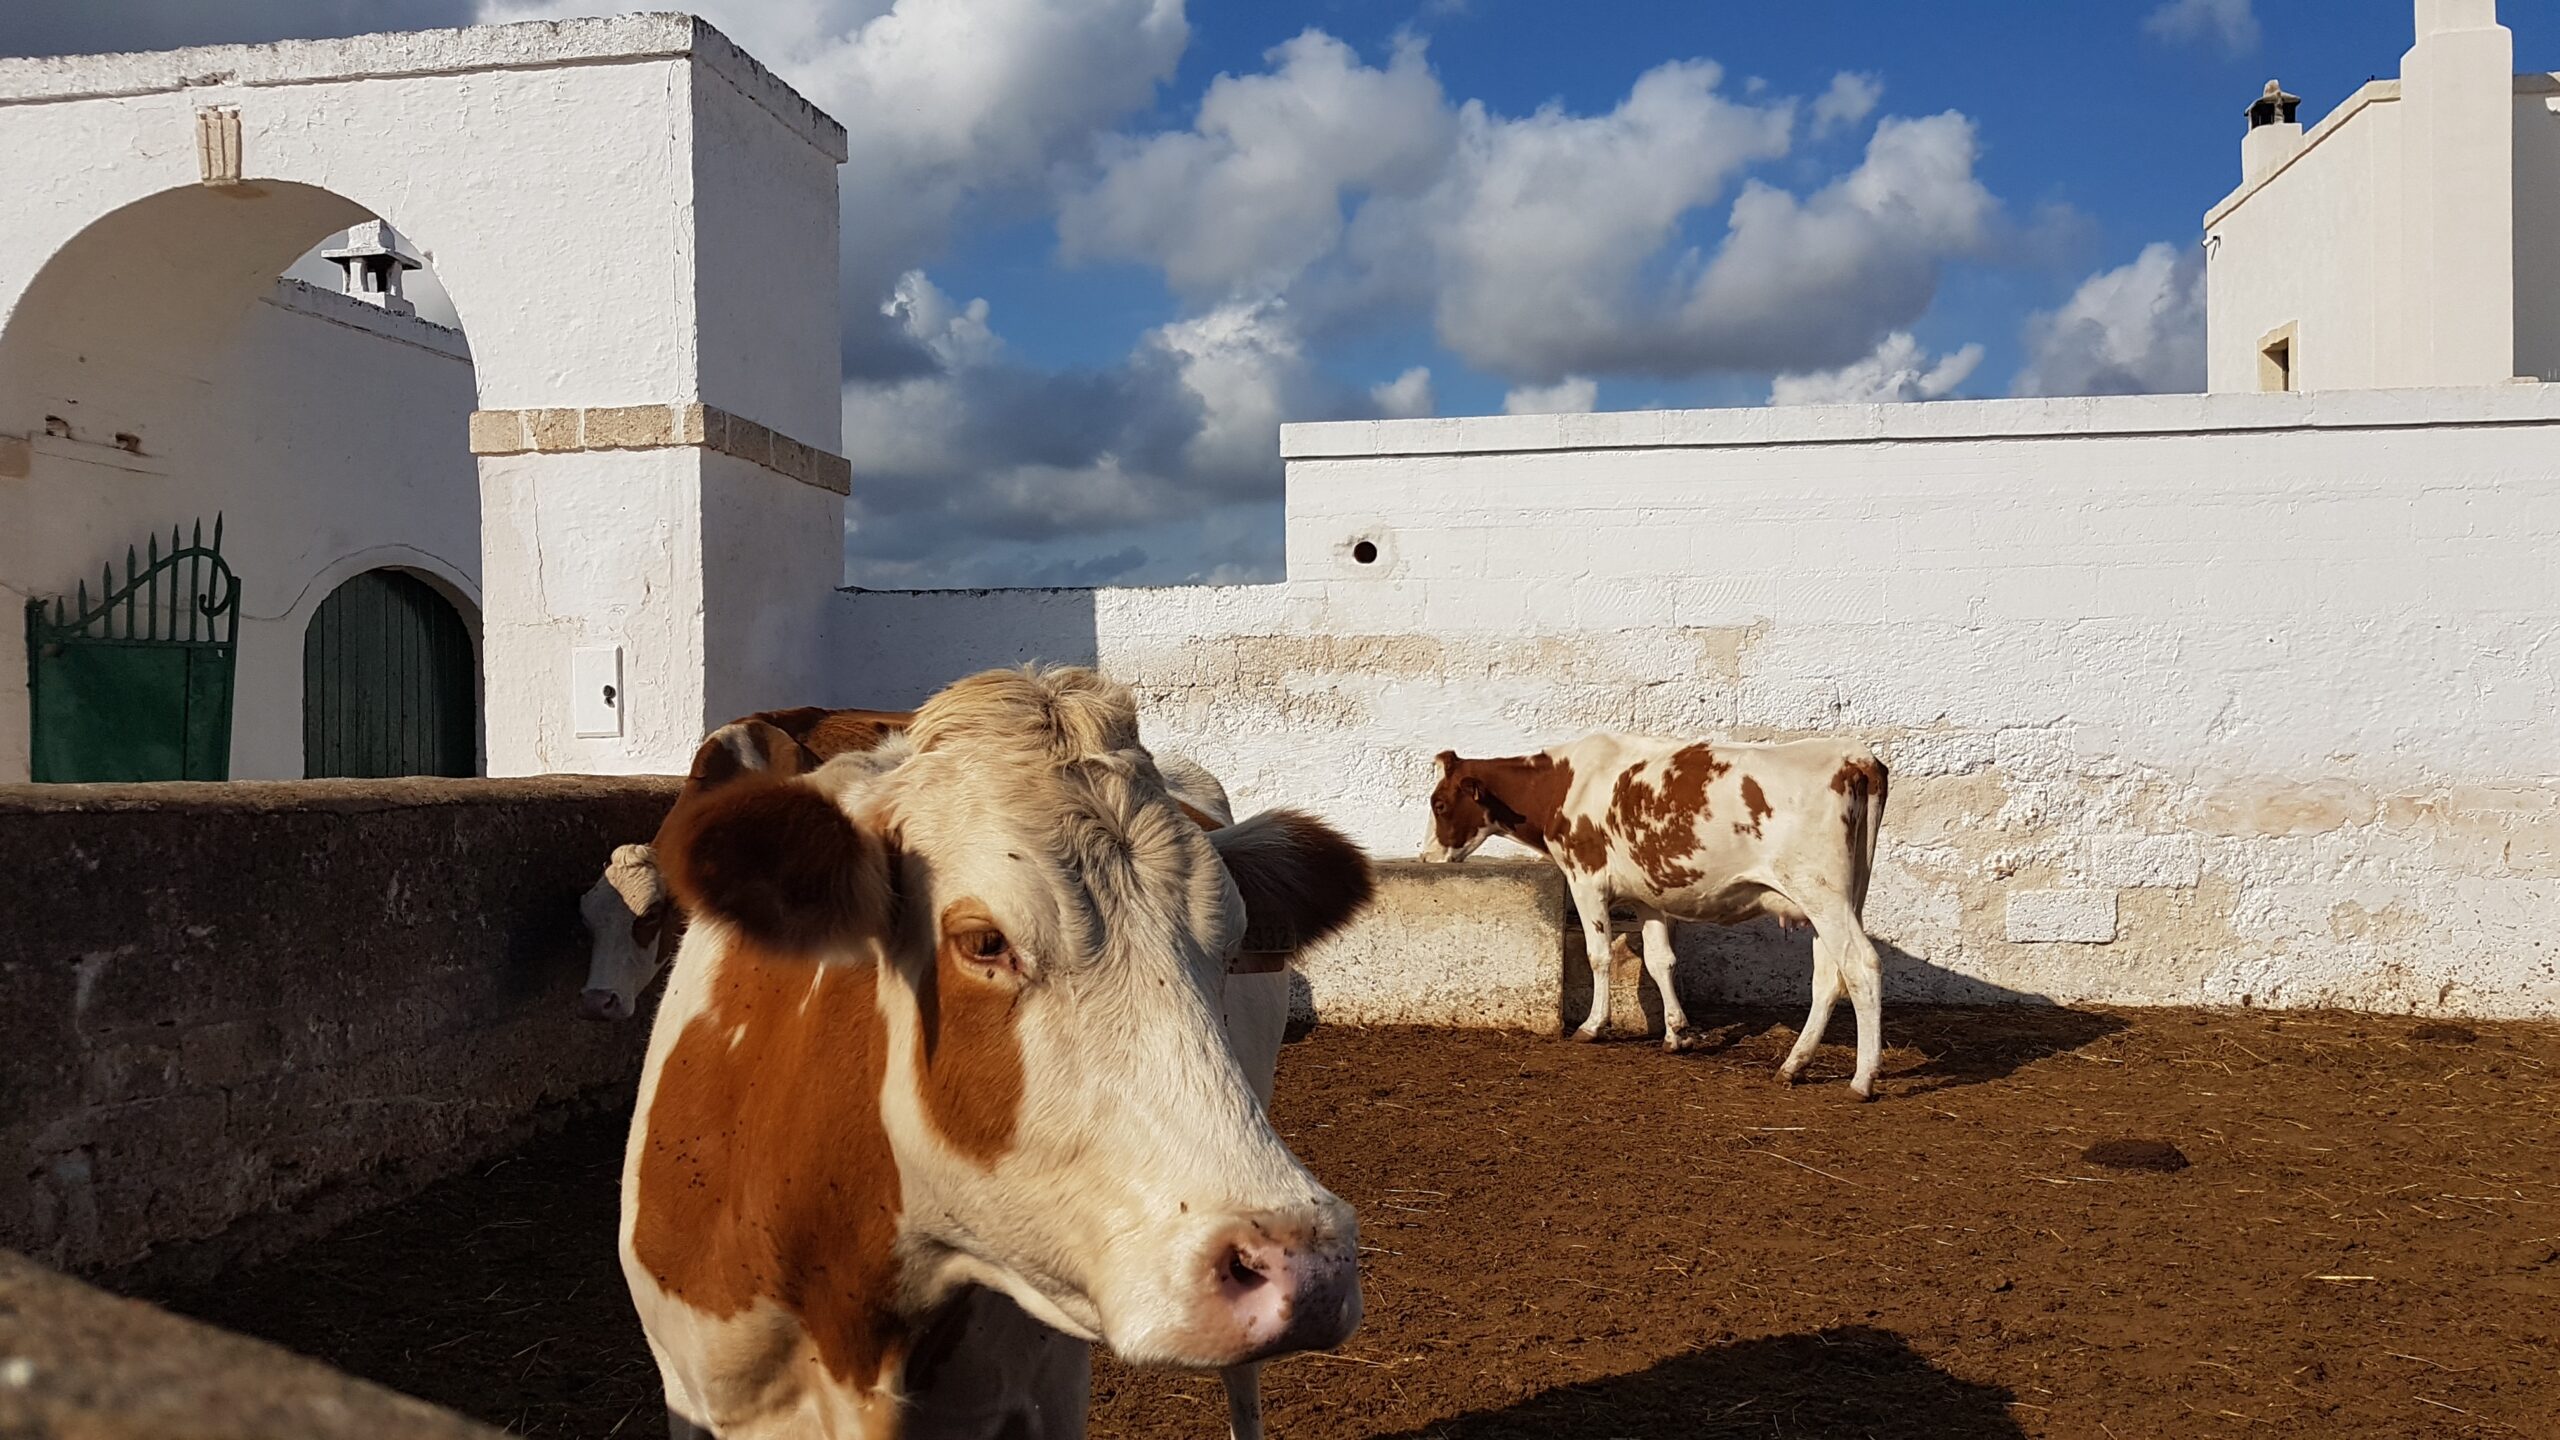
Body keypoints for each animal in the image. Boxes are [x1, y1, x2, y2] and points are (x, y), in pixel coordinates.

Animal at [1423, 732, 1884, 1091]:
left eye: (1439, 804)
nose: (1427, 857)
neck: (1564, 784)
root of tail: (1853, 755)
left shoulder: (1585, 878)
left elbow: (1599, 955)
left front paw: (1593, 1026)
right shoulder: (1648, 895)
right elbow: (1660, 960)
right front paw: (1677, 1033)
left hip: (1822, 894)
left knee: (1861, 966)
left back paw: (1862, 1079)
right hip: (1838, 899)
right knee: (1828, 979)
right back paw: (1793, 1065)